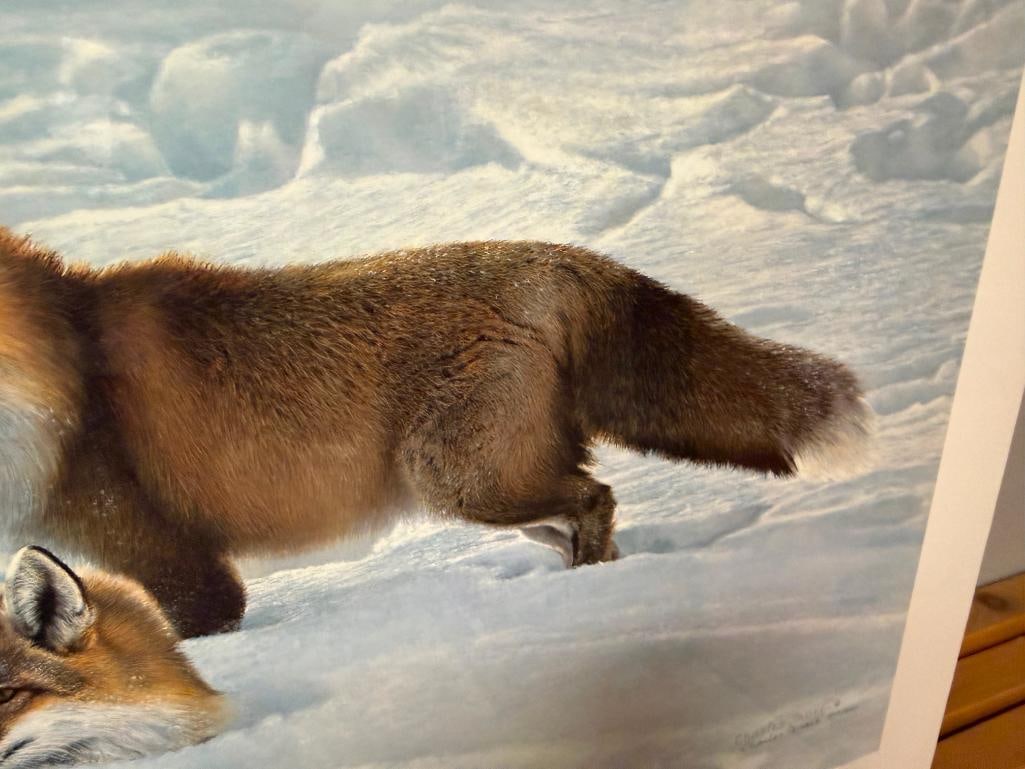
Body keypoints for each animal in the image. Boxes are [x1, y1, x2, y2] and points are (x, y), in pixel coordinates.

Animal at [0, 228, 872, 638]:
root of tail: (549, 255)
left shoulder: (177, 563)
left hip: (454, 478)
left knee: (597, 496)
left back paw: (589, 598)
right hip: (489, 490)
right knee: (583, 511)